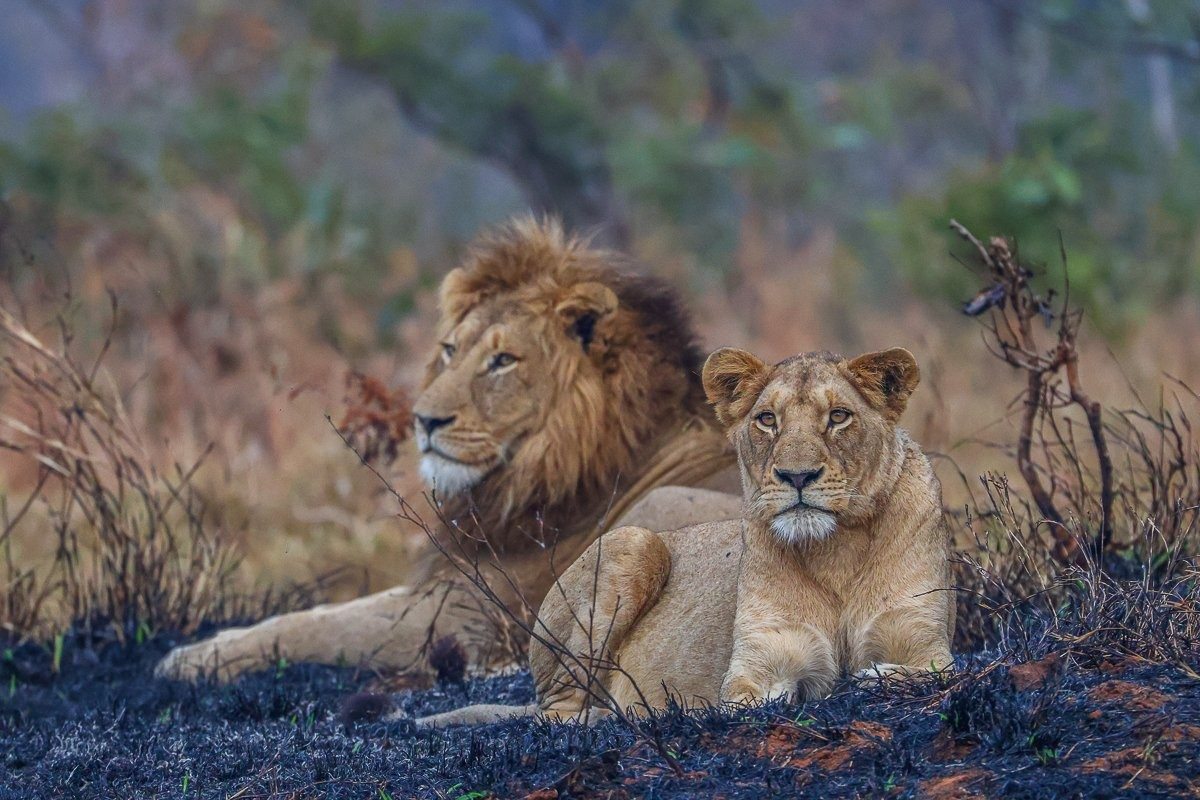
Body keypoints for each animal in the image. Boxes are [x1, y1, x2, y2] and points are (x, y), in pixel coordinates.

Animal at [155, 217, 741, 682]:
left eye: (503, 360)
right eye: (450, 350)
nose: (424, 420)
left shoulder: (467, 612)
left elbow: (322, 627)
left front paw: (189, 660)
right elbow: (321, 612)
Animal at [415, 345, 953, 727]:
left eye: (839, 416)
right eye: (767, 419)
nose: (796, 476)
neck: (835, 550)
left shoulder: (924, 644)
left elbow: (925, 671)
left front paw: (870, 677)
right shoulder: (754, 666)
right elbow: (750, 700)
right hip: (634, 540)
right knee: (560, 711)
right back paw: (626, 713)